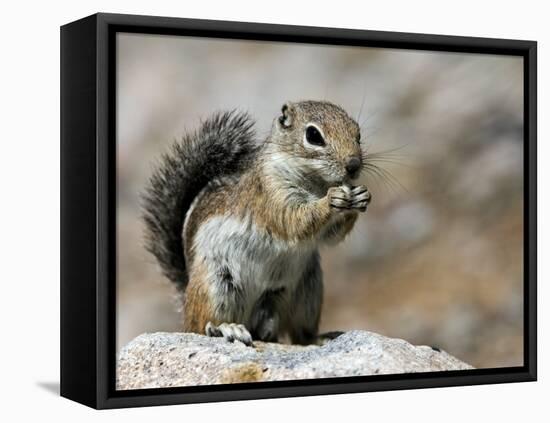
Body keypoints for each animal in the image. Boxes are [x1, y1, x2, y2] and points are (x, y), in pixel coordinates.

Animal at [144, 101, 374, 346]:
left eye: (358, 134)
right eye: (313, 135)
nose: (354, 165)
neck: (315, 183)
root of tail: (186, 294)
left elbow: (331, 237)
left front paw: (361, 196)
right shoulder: (271, 194)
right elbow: (294, 221)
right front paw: (331, 200)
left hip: (307, 292)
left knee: (299, 334)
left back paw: (317, 338)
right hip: (216, 285)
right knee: (200, 326)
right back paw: (226, 328)